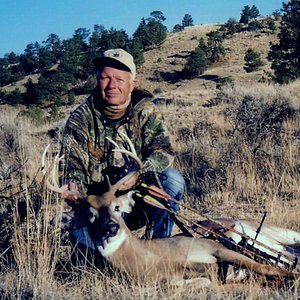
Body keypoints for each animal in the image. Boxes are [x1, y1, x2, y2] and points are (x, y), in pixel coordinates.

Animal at [42, 136, 300, 286]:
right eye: (90, 215)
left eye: (116, 207)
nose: (111, 227)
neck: (149, 257)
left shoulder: (213, 247)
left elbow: (266, 266)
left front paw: (294, 277)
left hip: (280, 233)